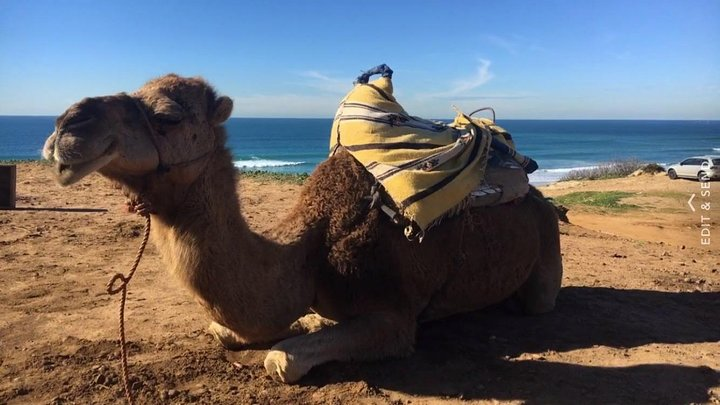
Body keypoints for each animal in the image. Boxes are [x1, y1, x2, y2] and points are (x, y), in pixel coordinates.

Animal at [42, 73, 564, 382]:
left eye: (168, 116)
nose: (67, 128)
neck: (309, 252)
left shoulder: (395, 316)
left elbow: (282, 357)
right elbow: (227, 329)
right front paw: (307, 321)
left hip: (544, 256)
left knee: (538, 300)